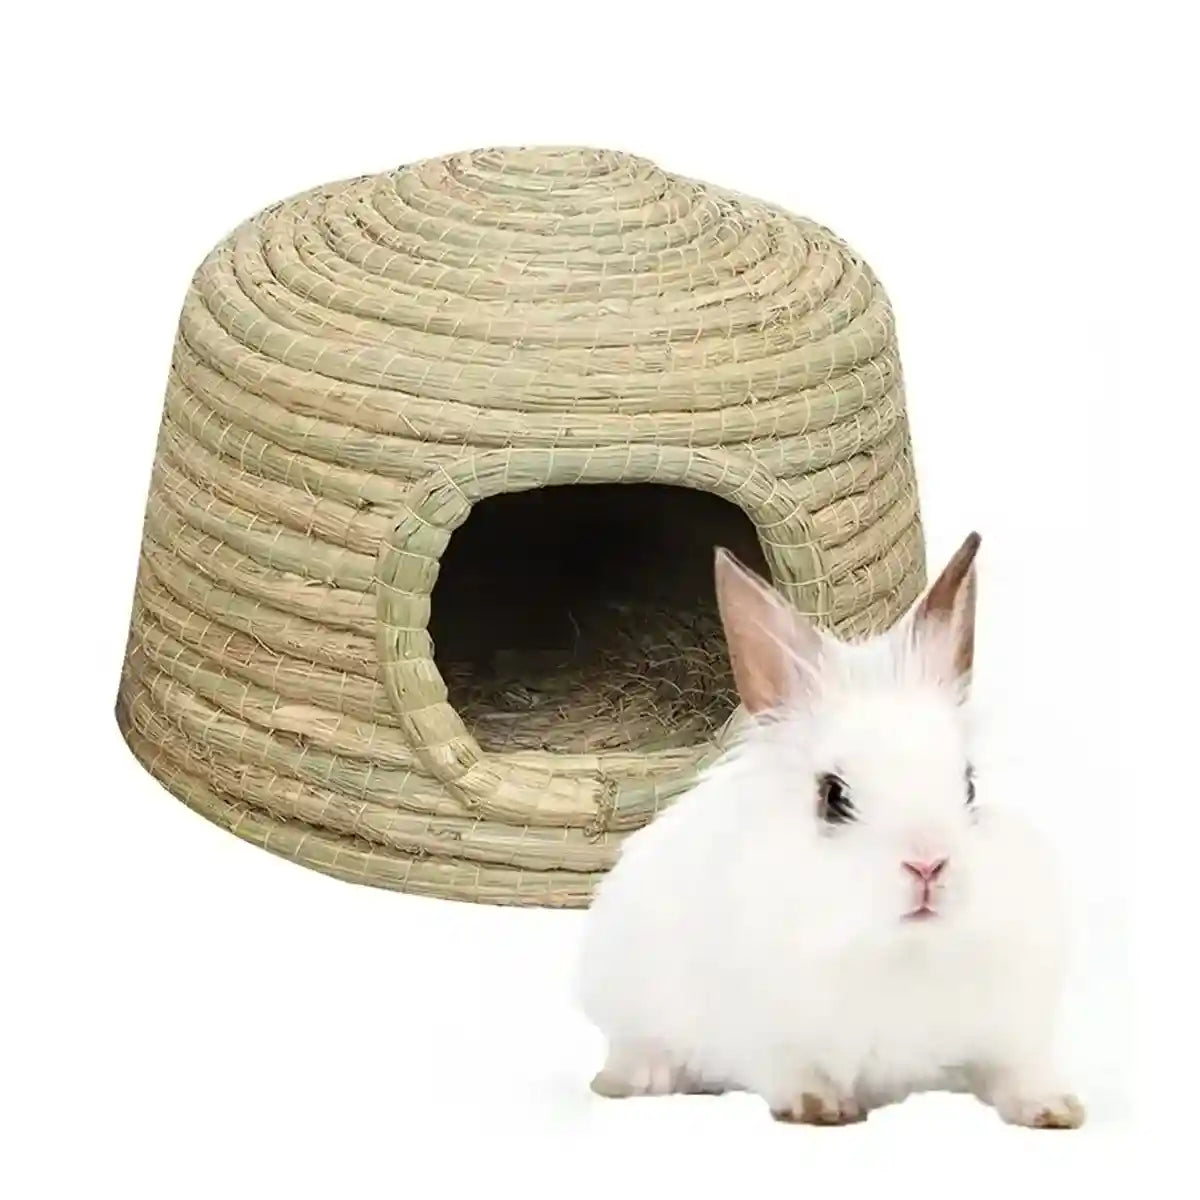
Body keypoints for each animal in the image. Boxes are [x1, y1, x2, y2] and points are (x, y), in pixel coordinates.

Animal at [576, 533, 1084, 1128]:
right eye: (833, 796)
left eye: (969, 786)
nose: (928, 865)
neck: (898, 952)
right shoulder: (762, 1031)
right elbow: (789, 1068)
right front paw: (818, 1106)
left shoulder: (1005, 1029)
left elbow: (1015, 1071)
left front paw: (1055, 1108)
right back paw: (626, 1081)